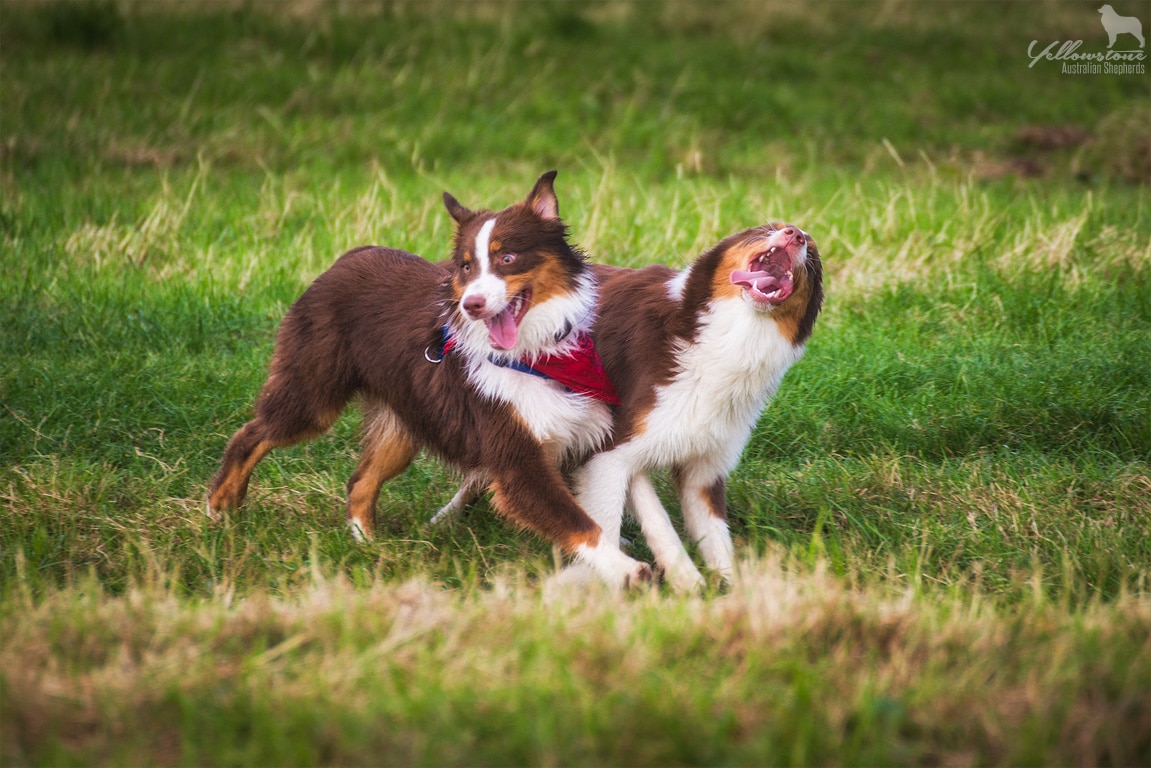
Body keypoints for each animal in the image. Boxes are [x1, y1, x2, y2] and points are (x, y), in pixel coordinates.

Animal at [207, 169, 653, 589]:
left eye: (508, 258)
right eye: (467, 266)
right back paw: (219, 508)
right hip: (313, 395)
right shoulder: (516, 458)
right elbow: (580, 523)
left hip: (402, 423)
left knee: (360, 481)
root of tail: (349, 256)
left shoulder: (579, 436)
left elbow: (591, 509)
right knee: (250, 435)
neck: (535, 354)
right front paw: (626, 570)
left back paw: (368, 546)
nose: (472, 305)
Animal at [575, 225, 828, 594]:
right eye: (764, 229)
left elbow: (715, 540)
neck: (727, 342)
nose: (794, 233)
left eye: (811, 251)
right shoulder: (610, 450)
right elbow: (634, 517)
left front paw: (725, 592)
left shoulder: (705, 470)